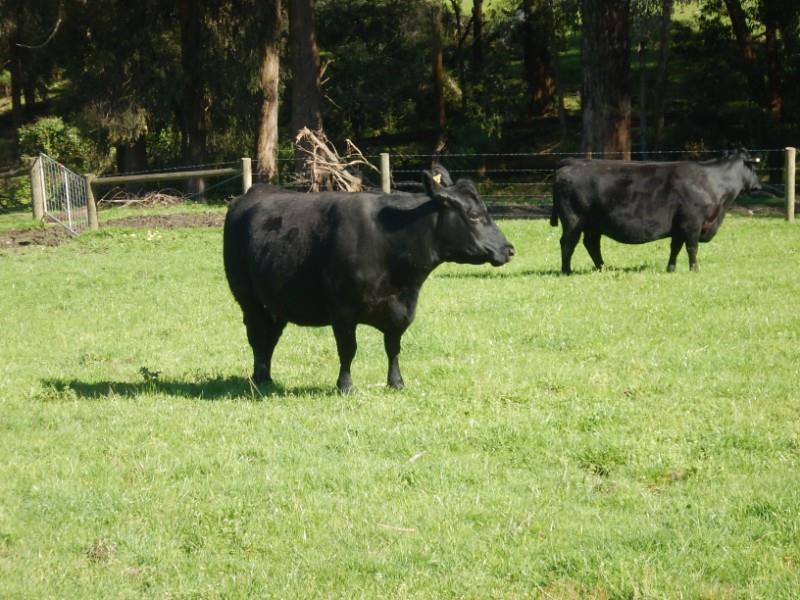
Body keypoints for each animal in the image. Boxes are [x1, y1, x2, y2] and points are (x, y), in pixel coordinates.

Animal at [223, 168, 515, 393]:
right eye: (474, 215)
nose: (508, 249)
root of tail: (253, 192)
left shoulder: (400, 308)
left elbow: (393, 348)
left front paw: (396, 383)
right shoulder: (342, 310)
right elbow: (348, 349)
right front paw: (345, 386)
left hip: (275, 303)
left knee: (270, 337)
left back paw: (266, 377)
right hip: (247, 298)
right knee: (257, 336)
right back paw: (260, 379)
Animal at [550, 150, 761, 273]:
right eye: (753, 168)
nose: (759, 186)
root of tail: (574, 162)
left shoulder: (679, 226)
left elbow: (675, 247)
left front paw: (671, 269)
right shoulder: (692, 222)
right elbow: (691, 247)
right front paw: (695, 270)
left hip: (593, 224)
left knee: (591, 244)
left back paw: (603, 267)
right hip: (573, 221)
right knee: (568, 243)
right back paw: (566, 270)